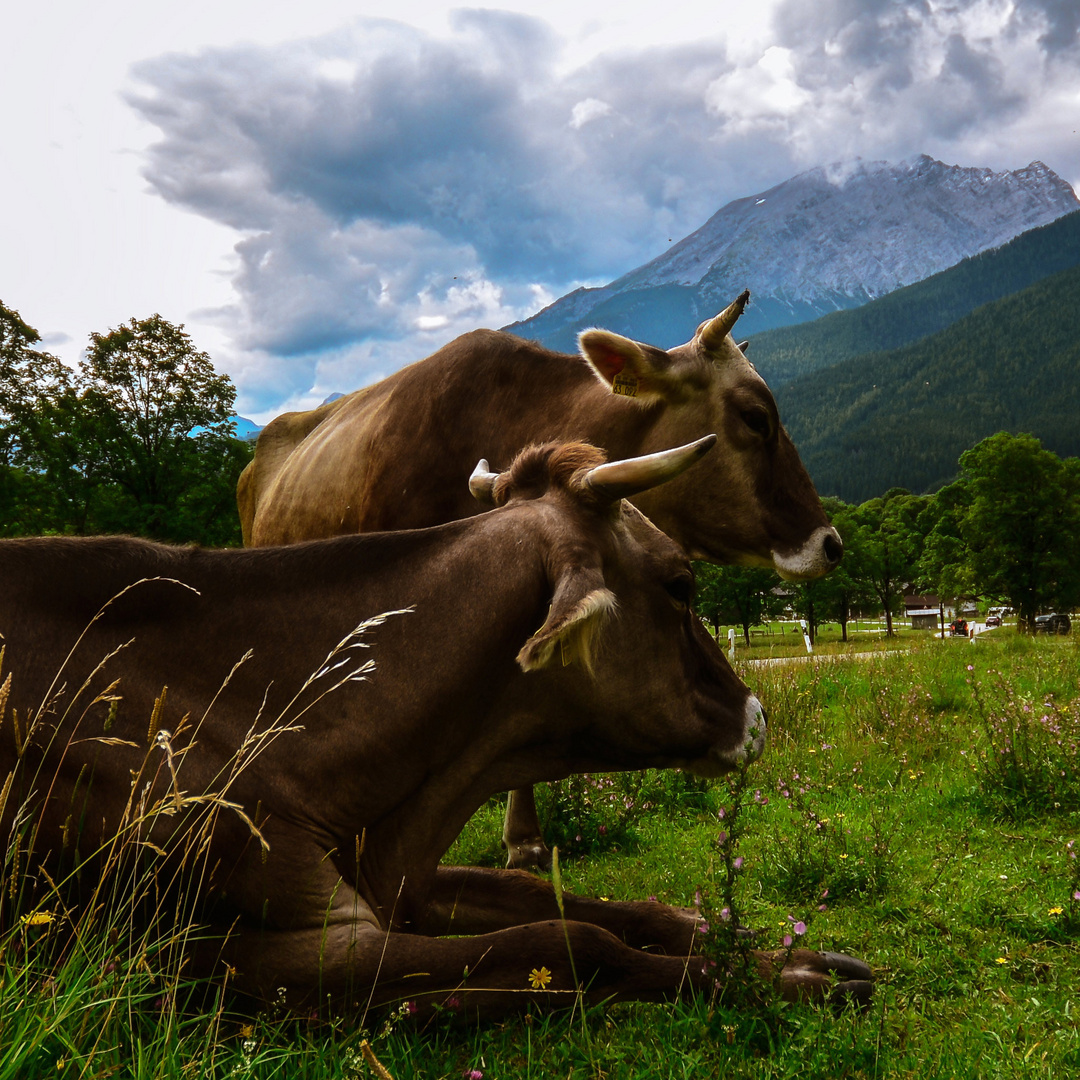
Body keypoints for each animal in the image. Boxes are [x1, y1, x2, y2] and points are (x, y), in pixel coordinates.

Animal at [0, 436, 868, 1010]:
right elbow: (568, 942)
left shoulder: (399, 877)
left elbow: (558, 895)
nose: (756, 713)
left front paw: (727, 932)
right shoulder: (212, 948)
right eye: (681, 582)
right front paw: (784, 976)